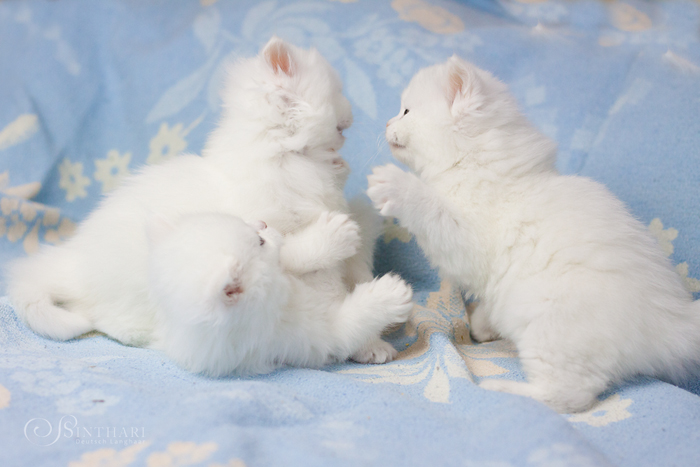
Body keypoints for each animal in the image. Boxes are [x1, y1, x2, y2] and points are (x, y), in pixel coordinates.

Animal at [146, 212, 412, 376]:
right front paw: (390, 294)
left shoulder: (284, 270)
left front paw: (330, 235)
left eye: (256, 231)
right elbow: (353, 321)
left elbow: (288, 254)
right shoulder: (318, 337)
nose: (262, 223)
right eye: (259, 241)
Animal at [366, 55, 700, 414]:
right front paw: (483, 324)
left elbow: (430, 207)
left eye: (406, 111)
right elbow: (488, 302)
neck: (476, 163)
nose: (385, 123)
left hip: (553, 331)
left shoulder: (468, 241)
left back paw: (502, 389)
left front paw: (394, 185)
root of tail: (674, 321)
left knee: (570, 396)